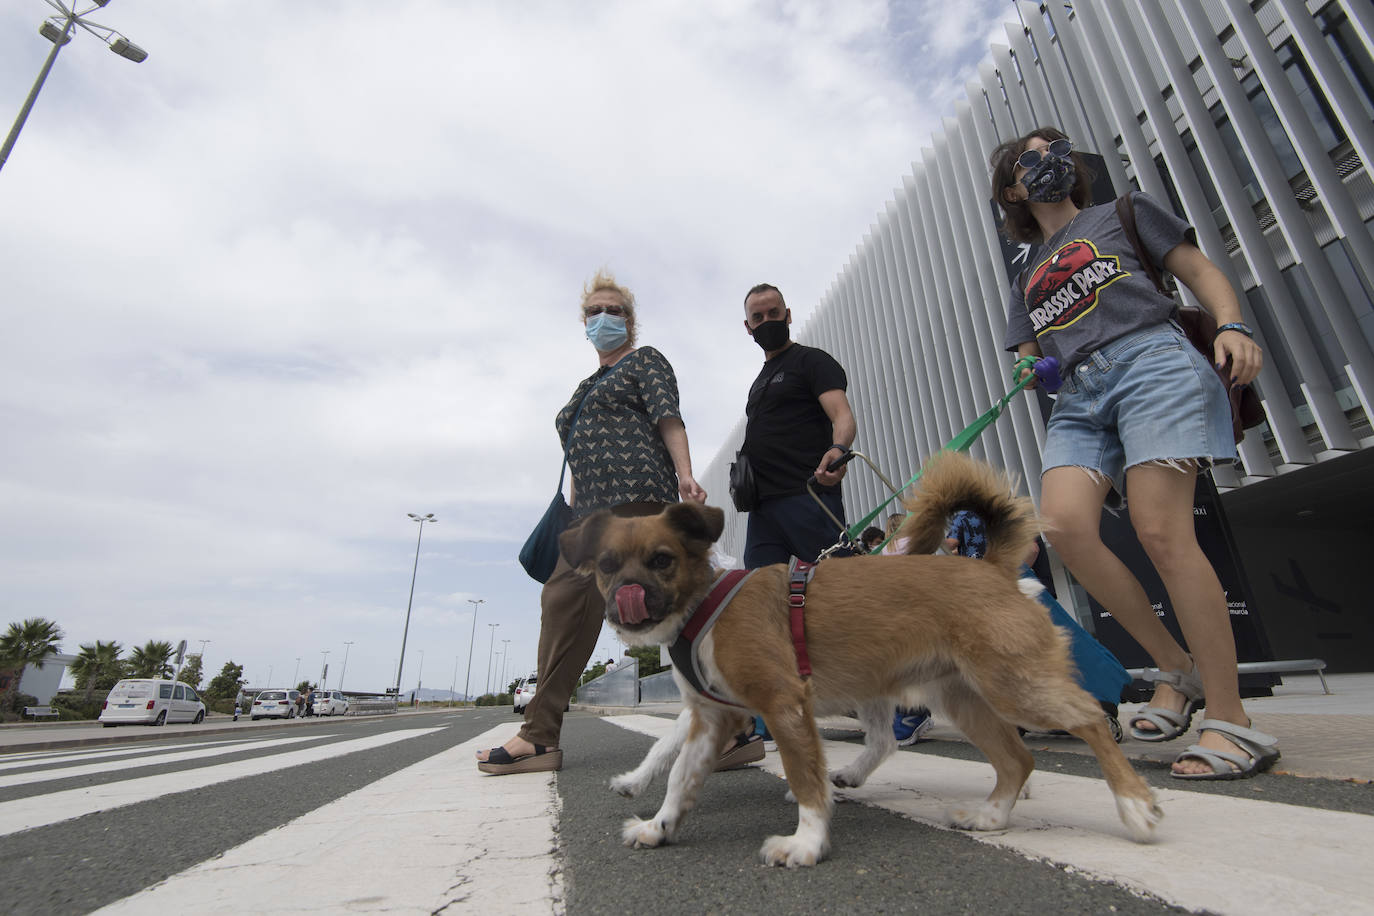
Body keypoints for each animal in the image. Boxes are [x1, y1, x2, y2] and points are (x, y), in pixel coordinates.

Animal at [557, 450, 1159, 867]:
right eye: (607, 566)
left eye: (662, 560)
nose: (628, 596)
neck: (704, 600)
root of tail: (989, 566)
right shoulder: (711, 718)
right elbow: (679, 774)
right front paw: (658, 824)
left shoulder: (783, 705)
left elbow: (804, 780)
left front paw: (806, 841)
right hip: (962, 697)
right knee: (1015, 758)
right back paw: (992, 814)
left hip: (1013, 684)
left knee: (1086, 717)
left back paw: (1134, 805)